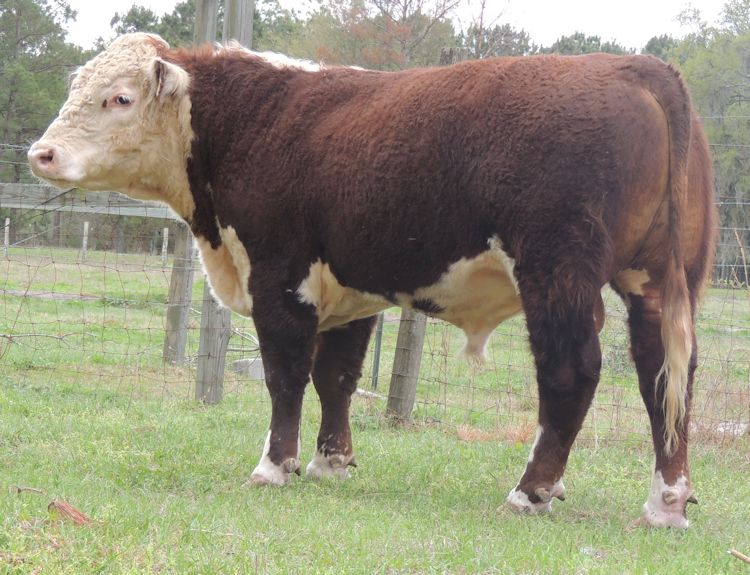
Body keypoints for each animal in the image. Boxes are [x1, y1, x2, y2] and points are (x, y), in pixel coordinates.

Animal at [28, 33, 716, 528]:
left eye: (119, 97)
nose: (41, 153)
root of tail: (635, 67)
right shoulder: (349, 289)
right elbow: (337, 374)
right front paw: (331, 462)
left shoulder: (280, 277)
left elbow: (285, 375)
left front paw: (274, 466)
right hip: (659, 279)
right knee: (664, 373)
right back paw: (666, 503)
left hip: (557, 271)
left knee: (572, 373)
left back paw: (531, 492)